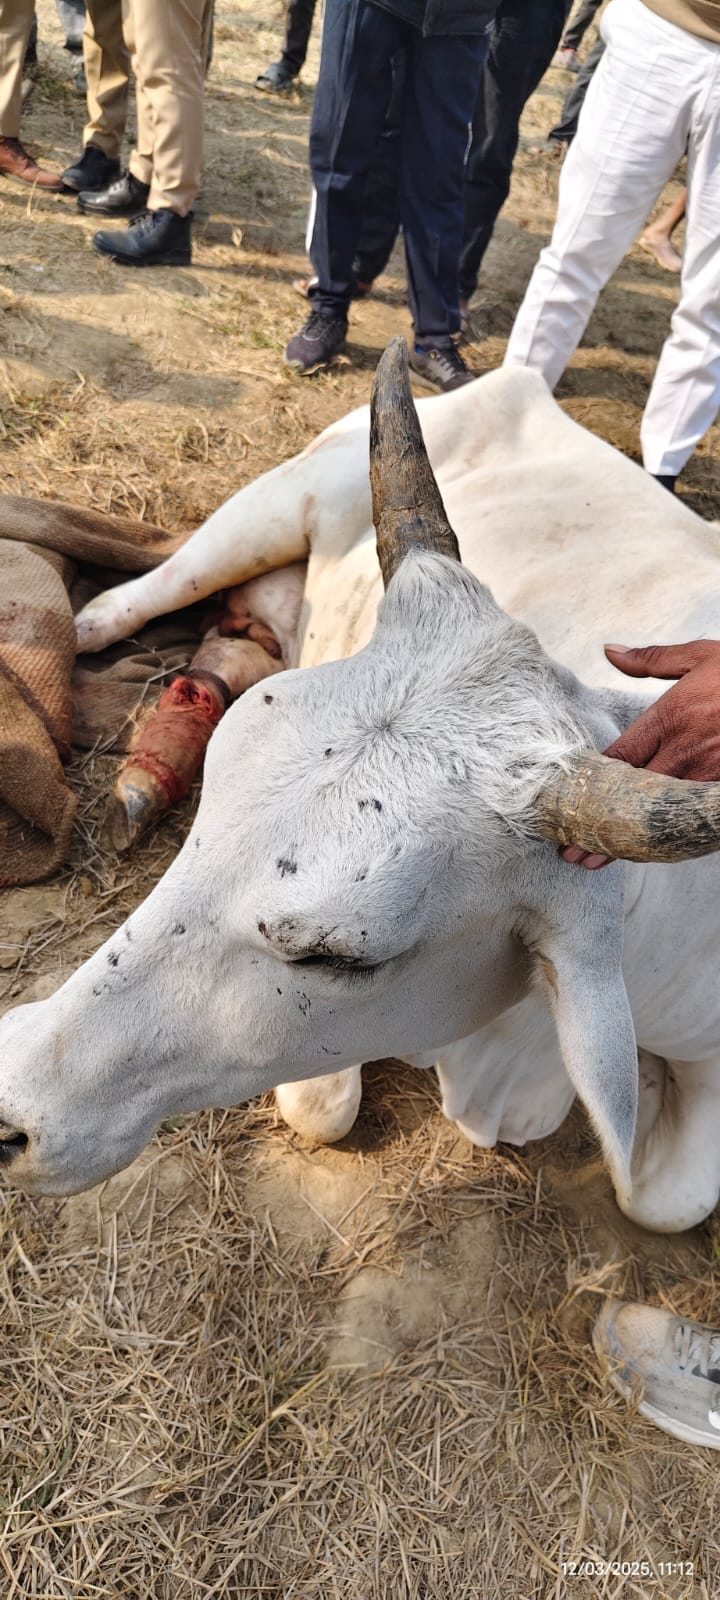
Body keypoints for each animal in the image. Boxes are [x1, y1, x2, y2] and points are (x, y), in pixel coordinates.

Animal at [1, 339, 720, 1242]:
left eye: (338, 957)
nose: (14, 1108)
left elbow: (665, 1200)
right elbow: (323, 1111)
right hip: (269, 507)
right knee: (115, 604)